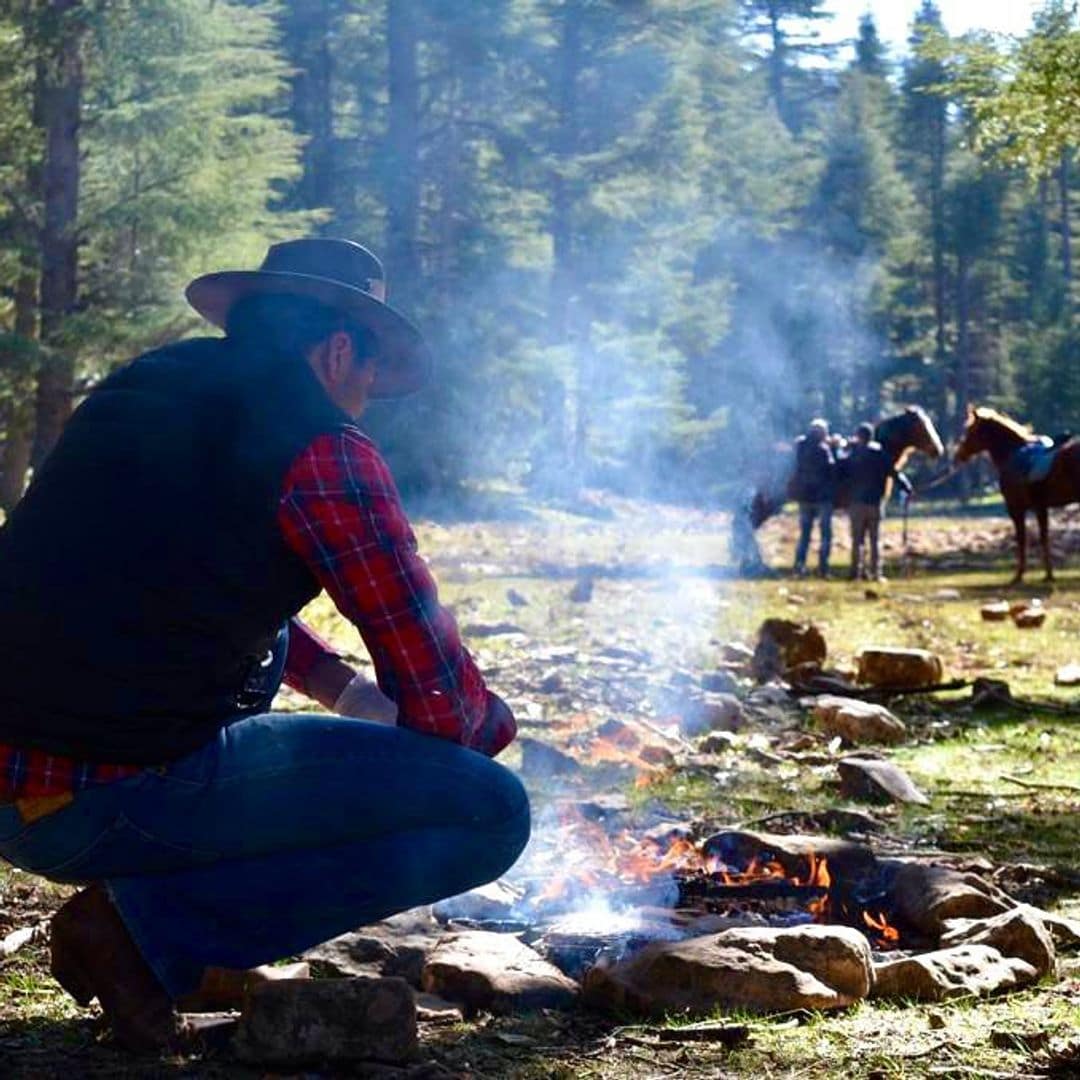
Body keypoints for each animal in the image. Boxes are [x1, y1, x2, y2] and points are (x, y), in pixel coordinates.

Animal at [954, 406, 1080, 583]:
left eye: (970, 430)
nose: (958, 455)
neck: (1012, 453)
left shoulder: (1016, 509)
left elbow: (1023, 539)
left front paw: (1020, 574)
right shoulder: (1041, 508)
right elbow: (1043, 537)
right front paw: (1049, 575)